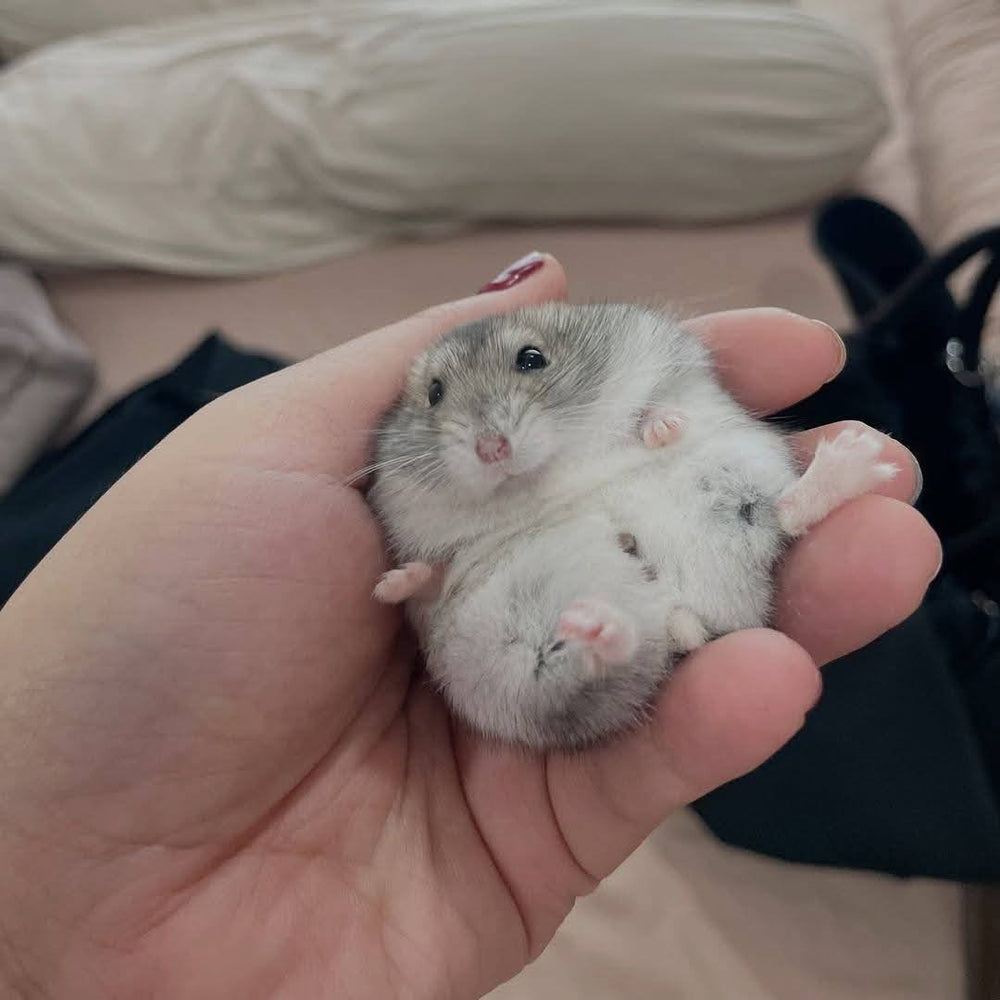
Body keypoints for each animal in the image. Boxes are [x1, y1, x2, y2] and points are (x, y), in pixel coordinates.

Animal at [367, 303, 897, 750]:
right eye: (434, 393)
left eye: (531, 359)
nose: (491, 449)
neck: (544, 476)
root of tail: (685, 611)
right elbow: (435, 574)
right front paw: (389, 584)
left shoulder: (669, 366)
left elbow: (658, 406)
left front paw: (662, 429)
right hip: (506, 664)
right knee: (590, 669)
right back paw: (597, 624)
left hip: (741, 473)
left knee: (787, 512)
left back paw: (855, 458)